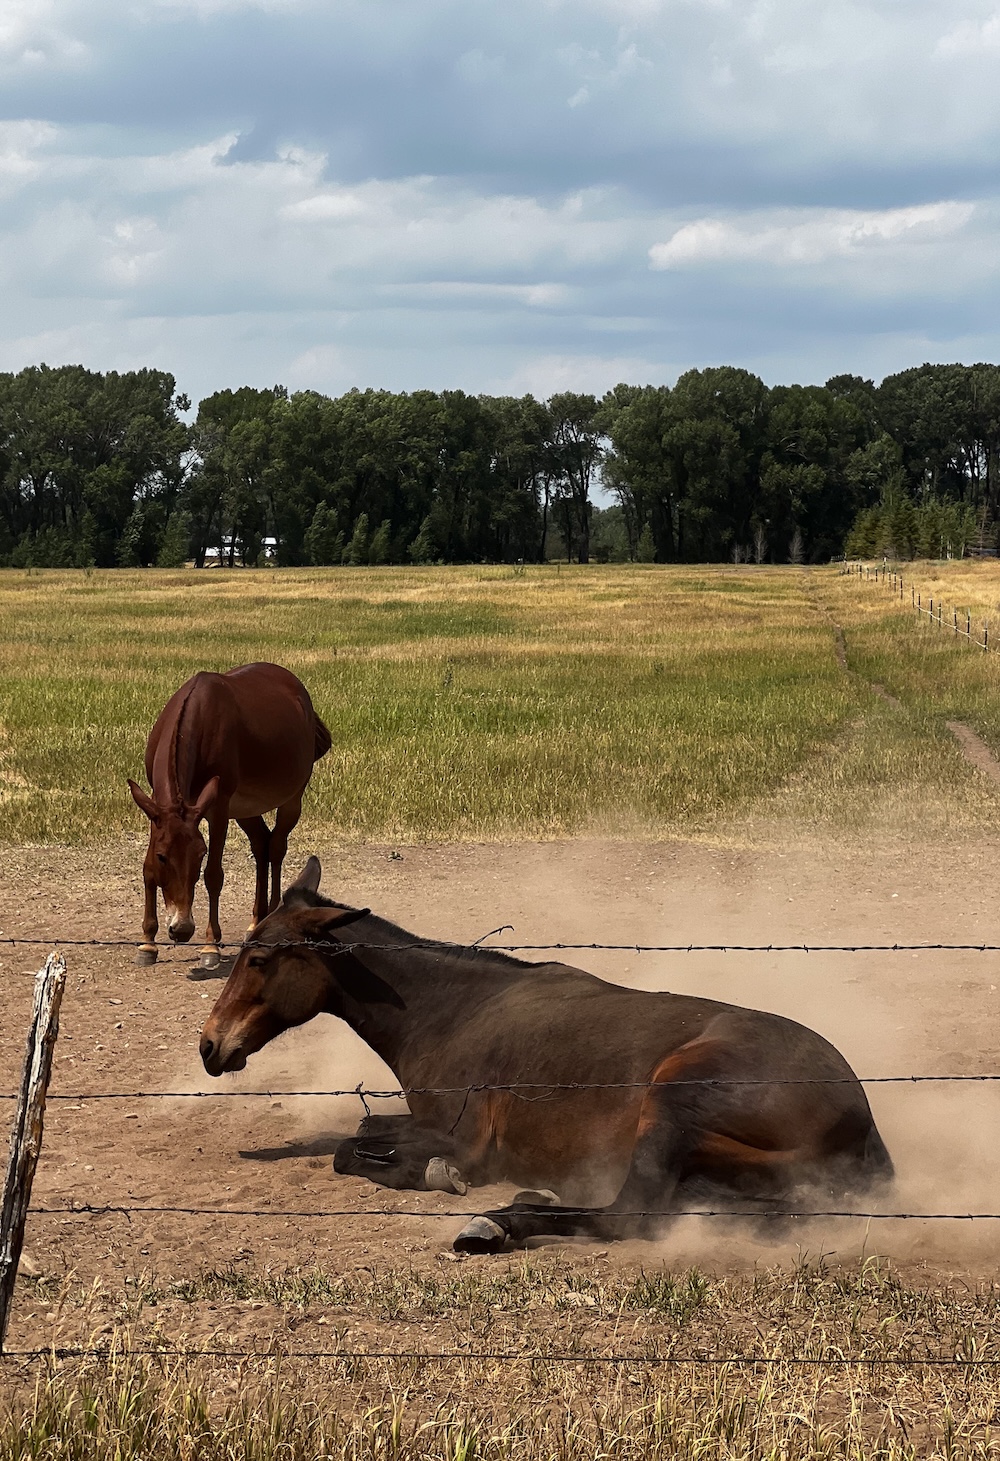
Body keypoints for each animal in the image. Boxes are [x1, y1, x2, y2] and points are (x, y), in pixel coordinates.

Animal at [128, 664, 331, 969]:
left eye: (200, 854)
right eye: (164, 856)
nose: (182, 929)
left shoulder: (219, 808)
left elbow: (214, 875)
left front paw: (210, 947)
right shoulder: (156, 805)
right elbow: (148, 870)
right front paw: (147, 943)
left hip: (291, 799)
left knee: (276, 847)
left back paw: (269, 917)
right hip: (246, 810)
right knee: (261, 845)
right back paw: (255, 921)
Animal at [199, 858, 894, 1253]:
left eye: (258, 958)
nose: (210, 1046)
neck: (451, 1011)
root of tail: (859, 1121)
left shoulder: (464, 1137)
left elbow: (356, 1151)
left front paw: (439, 1177)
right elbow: (361, 1136)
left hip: (675, 1100)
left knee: (631, 1215)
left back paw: (501, 1222)